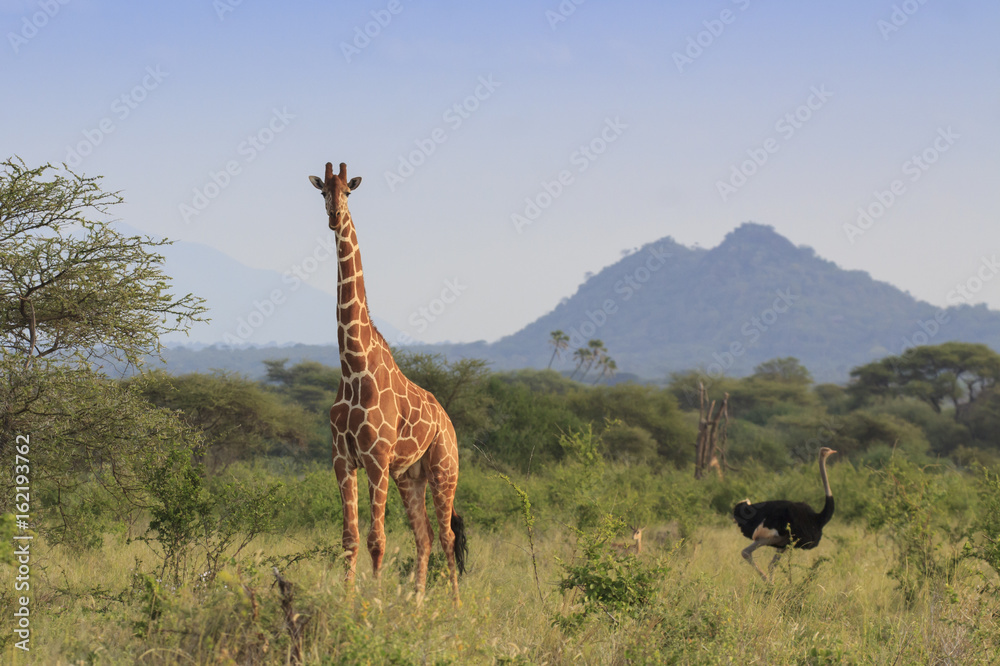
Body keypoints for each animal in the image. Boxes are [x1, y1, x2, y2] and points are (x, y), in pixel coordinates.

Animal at [309, 162, 467, 605]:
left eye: (348, 191)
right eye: (322, 191)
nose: (335, 216)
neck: (353, 366)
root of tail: (447, 421)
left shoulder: (376, 458)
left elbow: (376, 539)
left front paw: (374, 602)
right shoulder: (342, 459)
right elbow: (350, 537)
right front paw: (349, 601)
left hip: (444, 469)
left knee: (447, 536)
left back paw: (456, 605)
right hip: (409, 477)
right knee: (424, 536)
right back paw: (415, 603)